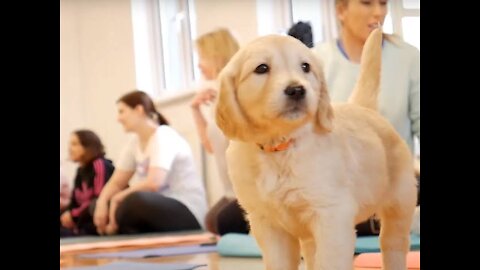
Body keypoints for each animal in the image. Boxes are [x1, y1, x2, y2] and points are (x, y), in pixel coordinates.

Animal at [214, 28, 416, 270]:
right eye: (261, 68)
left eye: (305, 67)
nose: (296, 90)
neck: (281, 146)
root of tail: (361, 107)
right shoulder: (267, 224)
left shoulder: (332, 216)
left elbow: (330, 261)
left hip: (400, 201)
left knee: (393, 243)